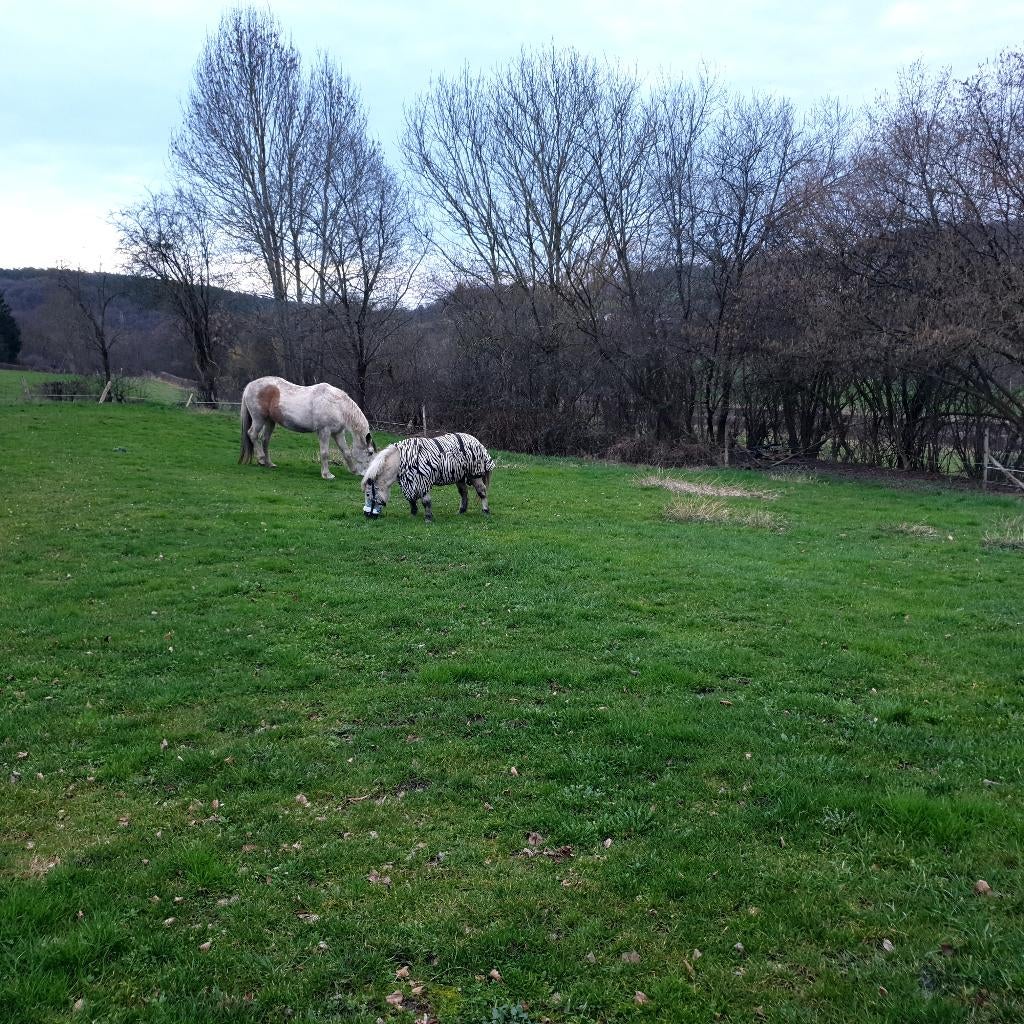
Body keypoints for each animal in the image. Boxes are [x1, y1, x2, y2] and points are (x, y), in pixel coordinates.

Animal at [239, 376, 375, 480]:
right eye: (370, 453)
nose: (369, 476)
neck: (337, 405)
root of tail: (250, 386)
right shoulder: (324, 431)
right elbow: (325, 453)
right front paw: (327, 475)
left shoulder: (338, 433)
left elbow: (346, 452)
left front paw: (354, 471)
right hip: (259, 419)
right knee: (252, 434)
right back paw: (261, 459)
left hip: (270, 422)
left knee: (265, 440)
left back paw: (269, 463)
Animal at [362, 433, 495, 523]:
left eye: (368, 494)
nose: (366, 515)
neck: (401, 461)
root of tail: (476, 440)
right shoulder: (408, 482)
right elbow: (411, 499)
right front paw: (413, 513)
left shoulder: (422, 482)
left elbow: (426, 501)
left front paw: (428, 518)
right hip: (459, 476)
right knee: (463, 492)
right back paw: (461, 511)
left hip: (474, 475)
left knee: (481, 491)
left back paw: (485, 511)